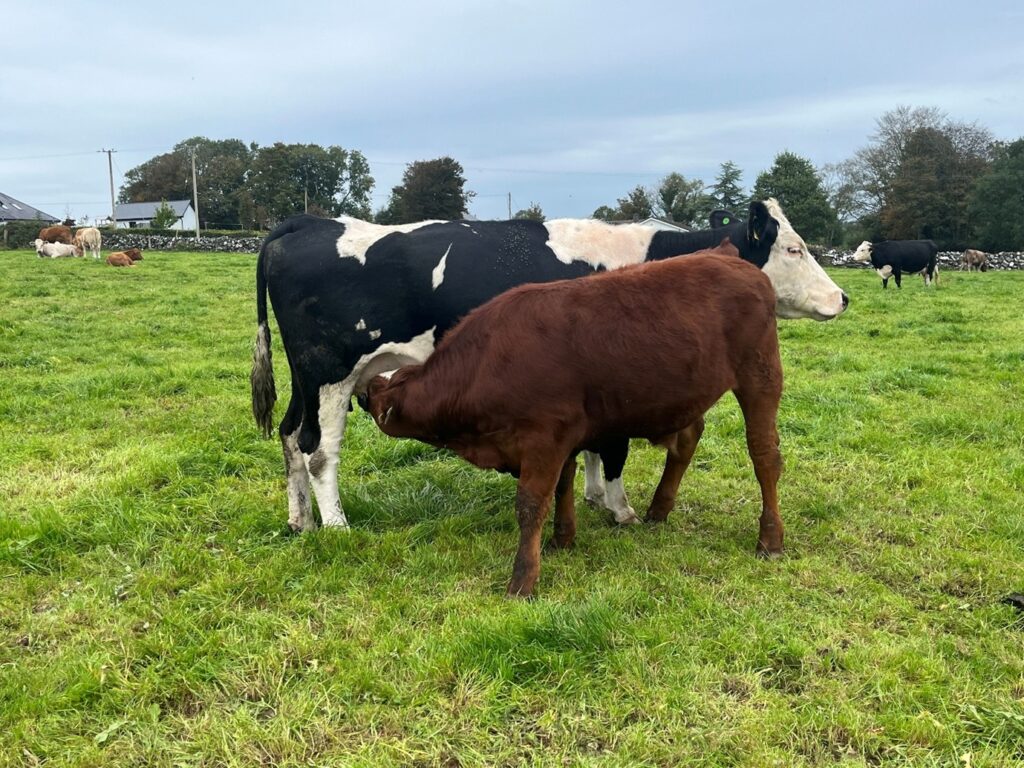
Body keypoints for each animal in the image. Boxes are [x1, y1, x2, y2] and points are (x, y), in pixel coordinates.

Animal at [251, 200, 848, 534]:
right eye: (794, 249)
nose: (842, 298)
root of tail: (308, 223)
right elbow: (614, 451)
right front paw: (621, 510)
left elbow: (593, 447)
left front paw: (592, 497)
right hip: (331, 375)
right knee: (318, 450)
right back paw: (338, 527)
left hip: (307, 380)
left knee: (289, 437)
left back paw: (300, 521)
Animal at [364, 244, 785, 597]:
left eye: (379, 392)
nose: (364, 389)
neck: (490, 359)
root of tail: (724, 254)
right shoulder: (561, 437)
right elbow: (563, 486)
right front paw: (562, 539)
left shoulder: (543, 438)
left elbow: (531, 504)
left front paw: (523, 579)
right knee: (686, 440)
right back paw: (658, 509)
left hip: (761, 376)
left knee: (764, 456)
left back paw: (770, 539)